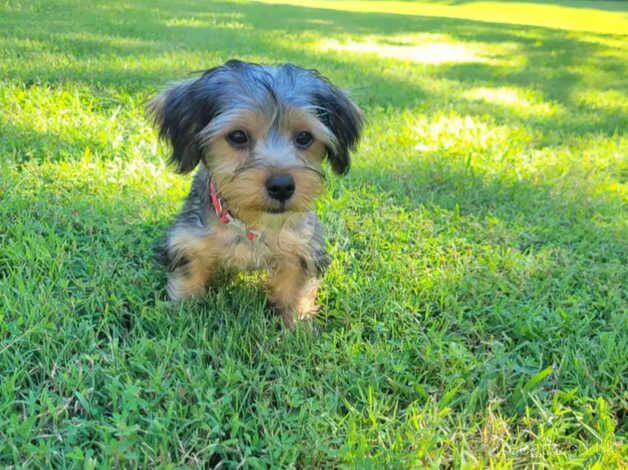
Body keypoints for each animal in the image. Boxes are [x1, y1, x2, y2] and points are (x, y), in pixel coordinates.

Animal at [148, 60, 364, 328]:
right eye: (237, 136)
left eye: (304, 137)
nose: (282, 186)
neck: (251, 222)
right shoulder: (188, 240)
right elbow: (187, 279)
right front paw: (181, 314)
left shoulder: (302, 247)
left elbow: (295, 289)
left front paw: (297, 323)